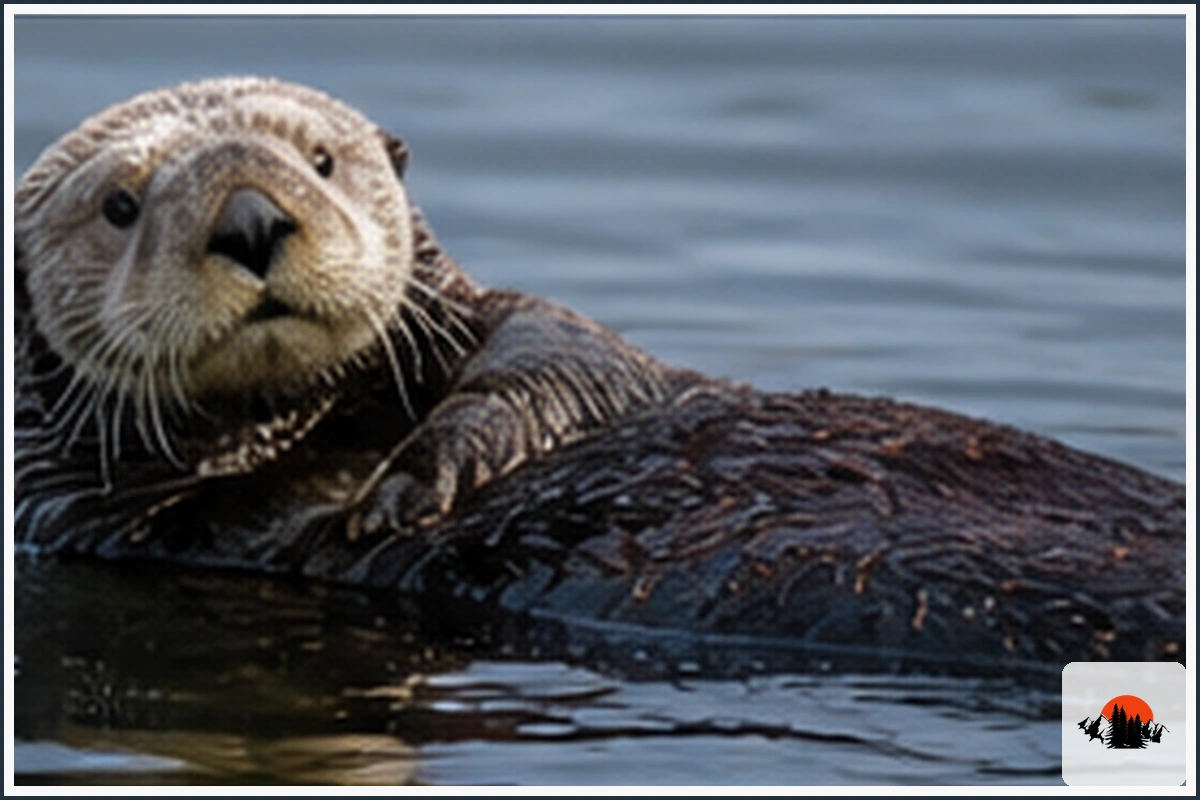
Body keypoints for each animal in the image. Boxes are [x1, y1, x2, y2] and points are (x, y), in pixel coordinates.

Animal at [14, 77, 1185, 677]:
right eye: (120, 206)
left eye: (320, 160)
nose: (252, 221)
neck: (311, 423)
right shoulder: (95, 520)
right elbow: (214, 517)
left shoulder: (543, 338)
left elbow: (553, 362)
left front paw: (415, 479)